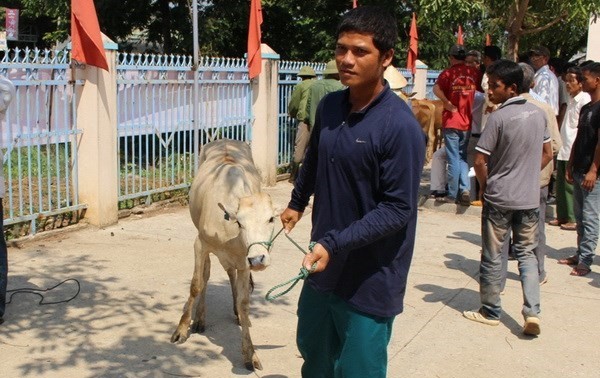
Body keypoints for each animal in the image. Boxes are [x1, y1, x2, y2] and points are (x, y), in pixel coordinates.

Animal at [170, 138, 278, 370]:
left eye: (271, 219)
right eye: (240, 222)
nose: (258, 259)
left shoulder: (244, 262)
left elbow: (245, 303)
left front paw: (250, 354)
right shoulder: (200, 244)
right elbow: (196, 284)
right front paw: (181, 329)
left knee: (229, 274)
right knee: (206, 274)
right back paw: (200, 318)